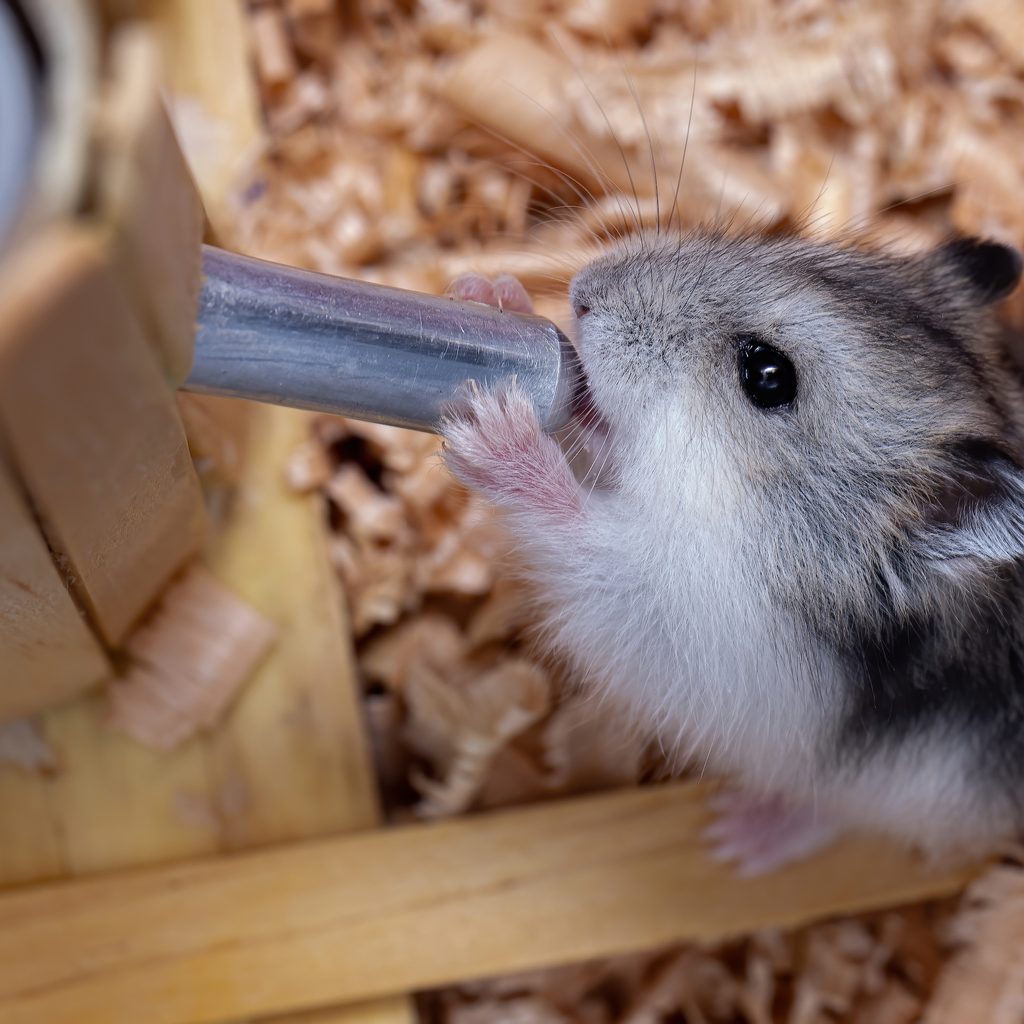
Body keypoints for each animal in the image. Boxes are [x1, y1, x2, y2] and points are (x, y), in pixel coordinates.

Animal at [441, 232, 1024, 874]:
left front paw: (494, 433)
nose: (583, 294)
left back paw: (736, 836)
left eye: (767, 375)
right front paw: (491, 295)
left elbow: (590, 543)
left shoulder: (692, 624)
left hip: (921, 787)